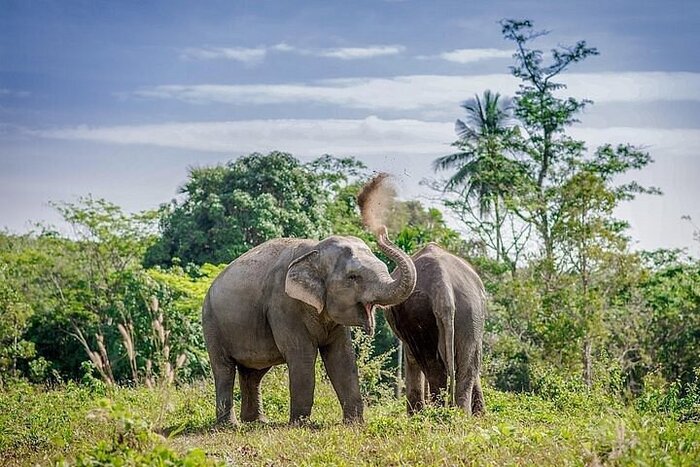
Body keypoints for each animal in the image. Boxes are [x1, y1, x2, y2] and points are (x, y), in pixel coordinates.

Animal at [202, 229, 416, 425]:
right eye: (353, 277)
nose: (382, 232)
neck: (315, 250)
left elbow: (342, 357)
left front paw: (355, 424)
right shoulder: (283, 305)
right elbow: (302, 355)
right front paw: (301, 425)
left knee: (253, 372)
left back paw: (257, 422)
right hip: (212, 324)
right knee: (224, 369)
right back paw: (230, 425)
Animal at [384, 243, 486, 415]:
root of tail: (442, 285)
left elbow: (411, 358)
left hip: (420, 313)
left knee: (433, 367)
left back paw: (436, 415)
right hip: (471, 312)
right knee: (466, 367)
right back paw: (459, 415)